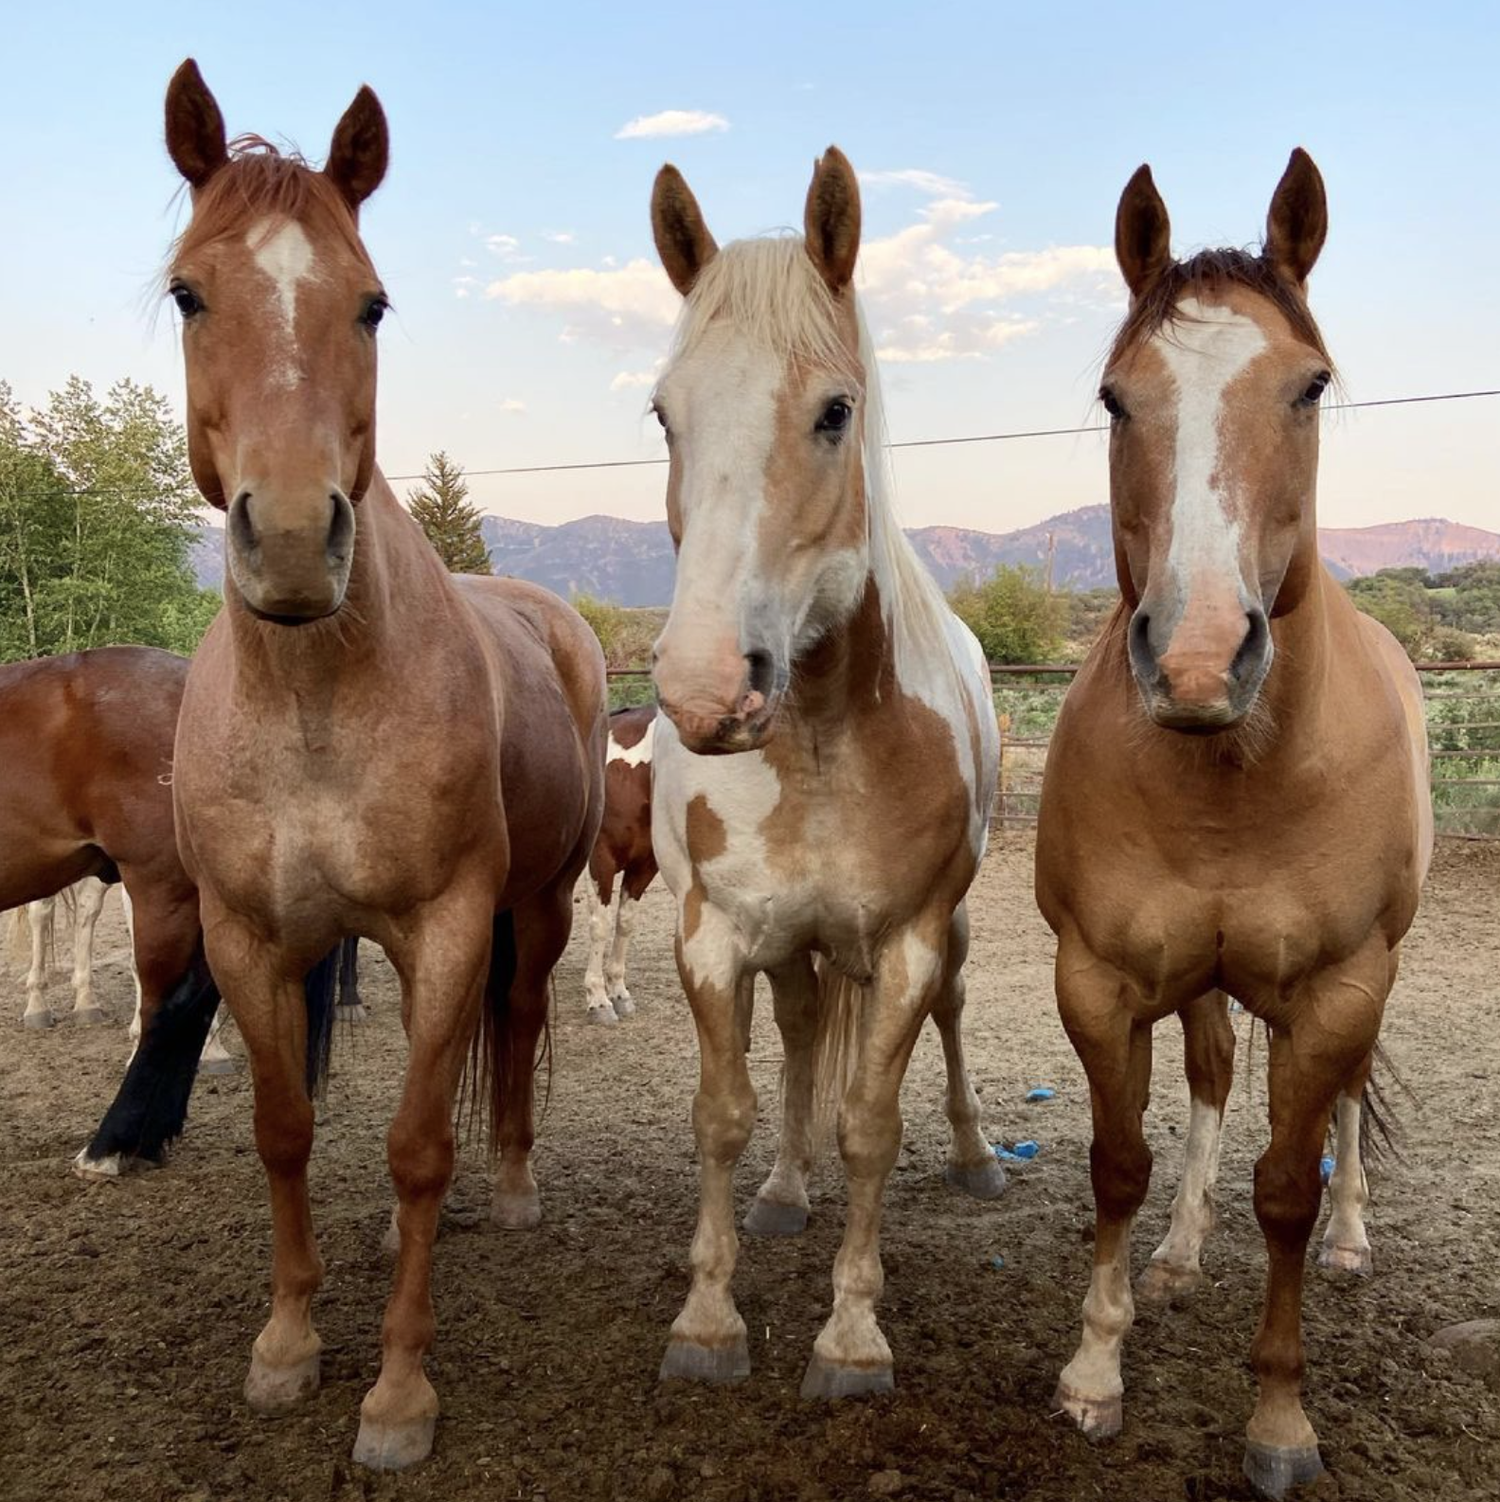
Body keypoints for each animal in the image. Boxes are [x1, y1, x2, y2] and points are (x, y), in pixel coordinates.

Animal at [161, 62, 606, 1470]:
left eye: (371, 301)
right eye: (189, 292)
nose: (300, 538)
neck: (318, 700)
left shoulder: (453, 922)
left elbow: (415, 1143)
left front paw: (400, 1391)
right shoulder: (249, 938)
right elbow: (285, 1129)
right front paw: (288, 1343)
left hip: (539, 905)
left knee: (516, 1029)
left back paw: (505, 1184)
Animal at [646, 147, 1004, 1398]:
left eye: (834, 411)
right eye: (663, 411)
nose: (707, 684)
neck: (821, 744)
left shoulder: (904, 945)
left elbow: (872, 1126)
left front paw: (852, 1335)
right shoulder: (713, 936)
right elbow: (722, 1111)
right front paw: (708, 1318)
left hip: (946, 939)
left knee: (951, 1018)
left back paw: (978, 1154)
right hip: (789, 946)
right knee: (801, 1035)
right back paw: (786, 1190)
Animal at [1035, 150, 1431, 1500]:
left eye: (1307, 387)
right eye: (1114, 399)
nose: (1202, 658)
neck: (1236, 774)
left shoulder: (1342, 985)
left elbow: (1288, 1190)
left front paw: (1280, 1416)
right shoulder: (1099, 977)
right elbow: (1119, 1162)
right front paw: (1096, 1367)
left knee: (1343, 1109)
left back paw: (1358, 1237)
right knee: (1209, 1077)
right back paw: (1180, 1248)